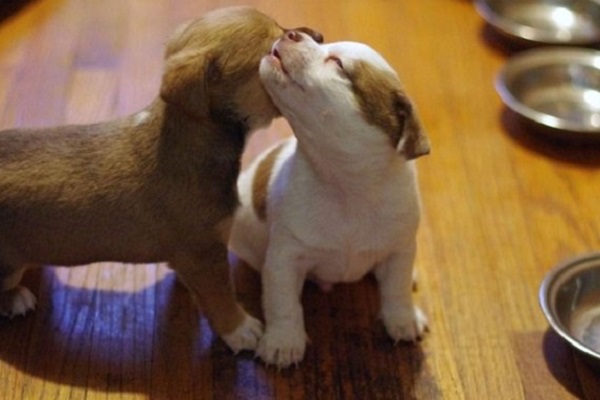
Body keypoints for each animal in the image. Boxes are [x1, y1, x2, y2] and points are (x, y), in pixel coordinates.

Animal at [0, 7, 324, 354]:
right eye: (274, 51)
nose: (318, 35)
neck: (192, 134)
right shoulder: (205, 254)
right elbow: (221, 297)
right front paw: (240, 329)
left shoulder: (195, 256)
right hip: (7, 267)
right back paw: (15, 298)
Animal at [231, 31, 432, 368]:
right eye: (320, 40)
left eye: (338, 64)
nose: (293, 32)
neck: (345, 186)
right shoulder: (285, 260)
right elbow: (283, 304)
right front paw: (284, 342)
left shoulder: (399, 251)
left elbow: (397, 289)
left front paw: (402, 319)